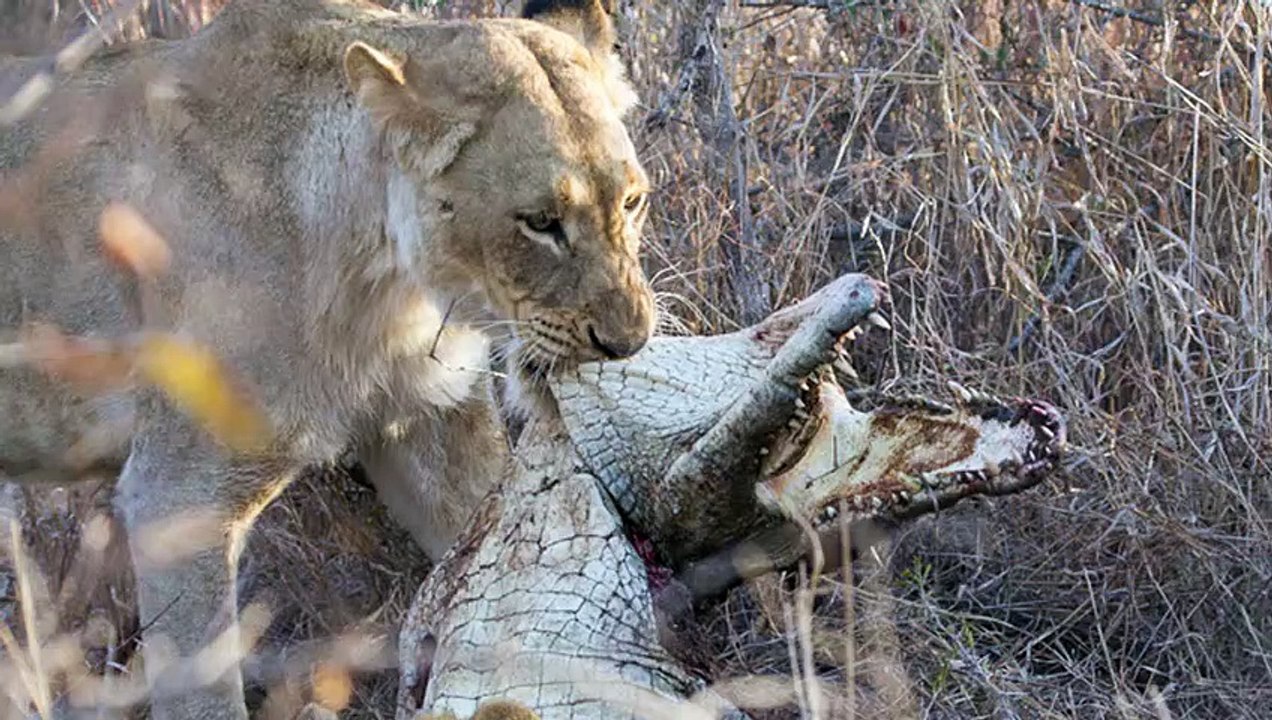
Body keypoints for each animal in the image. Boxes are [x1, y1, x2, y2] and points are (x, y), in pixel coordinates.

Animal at [0, 0, 655, 717]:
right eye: (539, 222)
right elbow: (205, 693)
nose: (628, 341)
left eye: (632, 201)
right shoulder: (177, 497)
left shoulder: (432, 424)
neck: (388, 289)